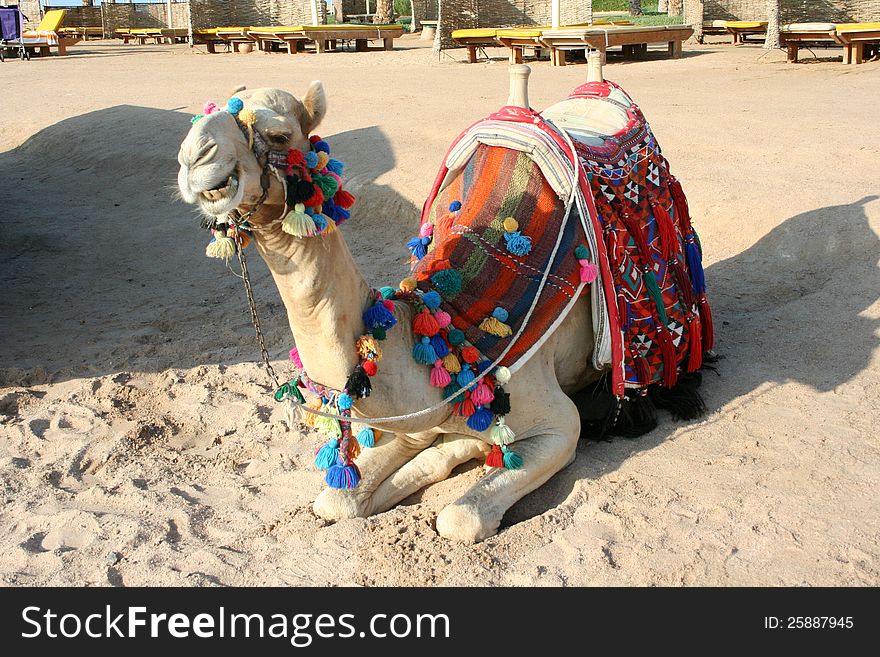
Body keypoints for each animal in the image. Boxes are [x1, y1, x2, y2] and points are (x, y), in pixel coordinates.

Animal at [175, 64, 704, 540]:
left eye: (280, 135)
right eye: (208, 112)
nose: (193, 157)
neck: (445, 333)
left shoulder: (558, 423)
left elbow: (459, 517)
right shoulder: (413, 420)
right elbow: (338, 498)